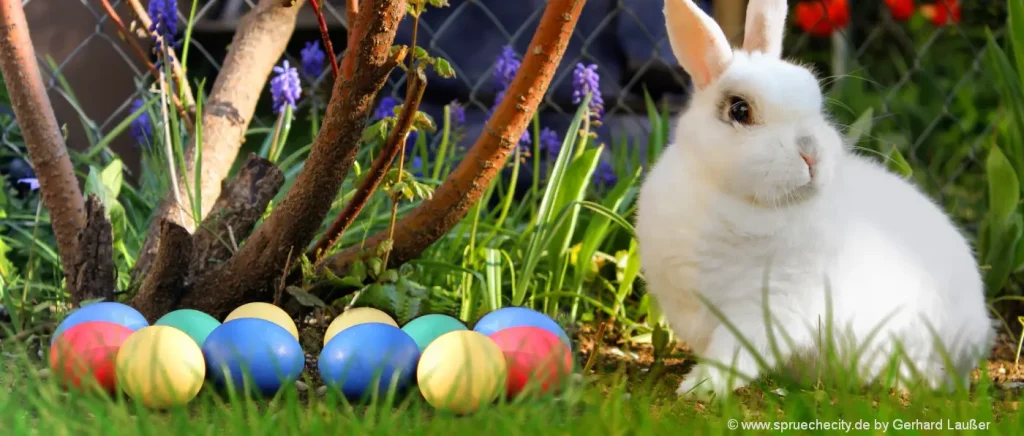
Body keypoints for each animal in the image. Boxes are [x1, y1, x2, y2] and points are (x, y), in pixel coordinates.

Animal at [634, 0, 995, 401]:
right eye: (739, 110)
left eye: (816, 103)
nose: (811, 154)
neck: (735, 200)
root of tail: (980, 336)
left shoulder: (770, 306)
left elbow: (734, 352)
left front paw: (699, 387)